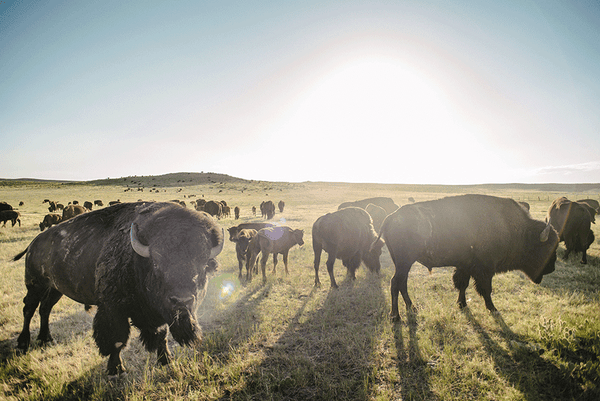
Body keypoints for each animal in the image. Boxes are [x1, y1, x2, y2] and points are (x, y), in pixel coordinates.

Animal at [13, 203, 225, 376]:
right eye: (156, 264)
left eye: (203, 266)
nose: (181, 300)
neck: (137, 260)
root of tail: (33, 244)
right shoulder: (113, 309)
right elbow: (117, 340)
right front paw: (116, 369)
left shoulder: (158, 312)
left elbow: (162, 335)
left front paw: (166, 360)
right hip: (35, 285)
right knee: (29, 309)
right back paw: (23, 343)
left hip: (55, 289)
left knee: (45, 309)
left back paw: (46, 339)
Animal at [378, 192, 560, 320]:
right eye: (546, 248)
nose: (552, 268)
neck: (515, 229)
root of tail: (389, 218)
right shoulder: (485, 270)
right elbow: (486, 290)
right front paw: (493, 309)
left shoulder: (465, 266)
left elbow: (462, 285)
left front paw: (462, 304)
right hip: (404, 262)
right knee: (395, 283)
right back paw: (395, 316)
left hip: (403, 263)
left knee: (402, 283)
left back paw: (412, 308)